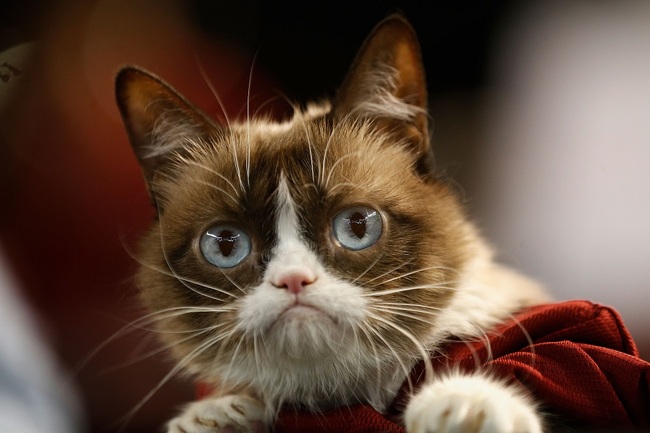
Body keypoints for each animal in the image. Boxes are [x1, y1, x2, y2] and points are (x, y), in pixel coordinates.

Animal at [115, 13, 548, 432]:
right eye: (225, 244)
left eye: (357, 225)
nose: (293, 280)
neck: (339, 403)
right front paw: (219, 417)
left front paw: (466, 406)